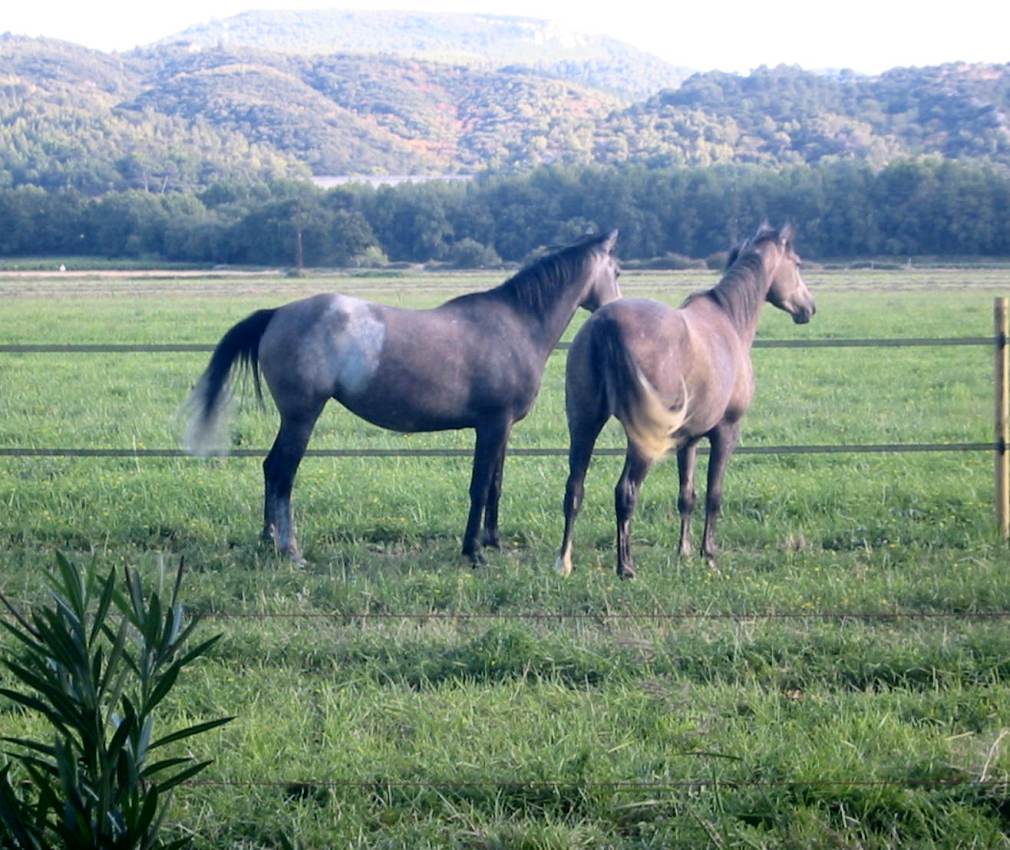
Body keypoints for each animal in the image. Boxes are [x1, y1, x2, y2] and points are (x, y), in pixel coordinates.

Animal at [185, 232, 618, 561]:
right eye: (615, 271)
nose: (615, 311)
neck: (515, 324)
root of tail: (277, 314)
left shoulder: (504, 428)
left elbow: (495, 484)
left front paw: (491, 541)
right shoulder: (491, 425)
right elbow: (479, 486)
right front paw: (472, 551)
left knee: (270, 469)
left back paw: (268, 538)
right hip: (301, 417)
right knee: (280, 472)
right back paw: (290, 549)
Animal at [553, 222, 812, 577]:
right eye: (797, 263)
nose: (808, 307)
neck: (728, 319)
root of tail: (606, 323)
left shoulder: (688, 439)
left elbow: (686, 495)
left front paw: (684, 551)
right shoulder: (726, 432)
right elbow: (714, 494)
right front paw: (709, 554)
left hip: (583, 425)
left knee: (574, 489)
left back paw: (564, 561)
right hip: (641, 439)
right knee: (625, 491)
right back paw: (626, 567)